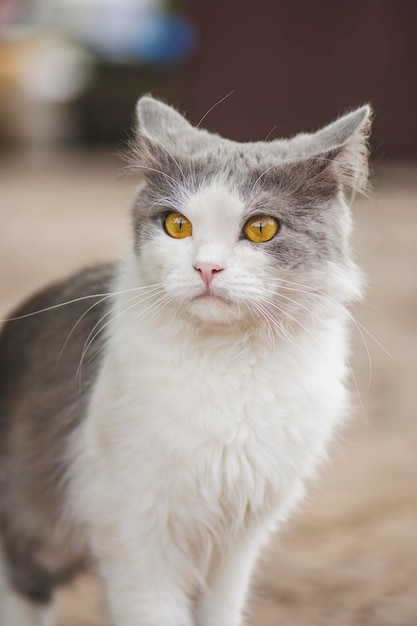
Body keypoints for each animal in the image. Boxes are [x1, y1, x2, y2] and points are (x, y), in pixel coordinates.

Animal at [0, 95, 370, 620]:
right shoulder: (135, 532)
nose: (206, 267)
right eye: (177, 225)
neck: (229, 367)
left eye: (261, 228)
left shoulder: (237, 542)